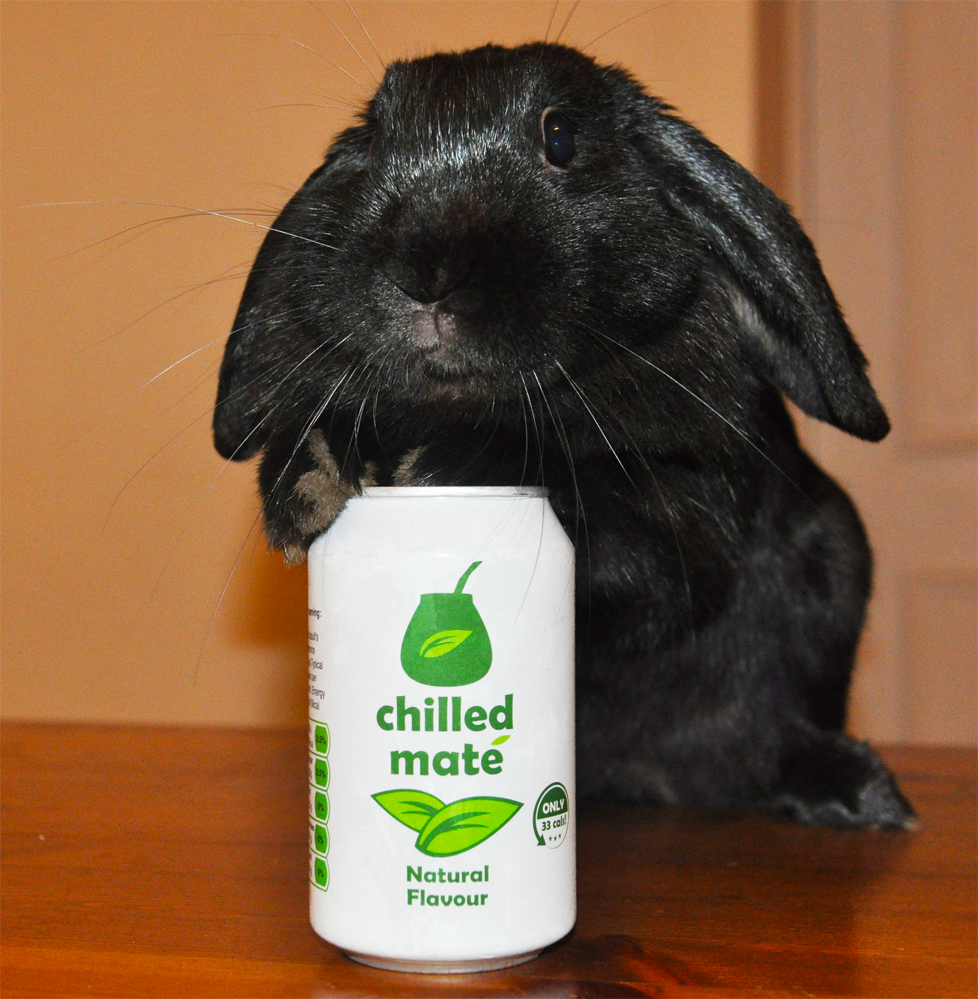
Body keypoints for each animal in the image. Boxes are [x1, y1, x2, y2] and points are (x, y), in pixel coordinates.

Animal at [213, 42, 914, 829]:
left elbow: (595, 502)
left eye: (561, 137)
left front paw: (437, 467)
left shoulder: (681, 524)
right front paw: (310, 482)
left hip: (837, 558)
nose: (425, 270)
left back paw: (855, 791)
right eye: (373, 143)